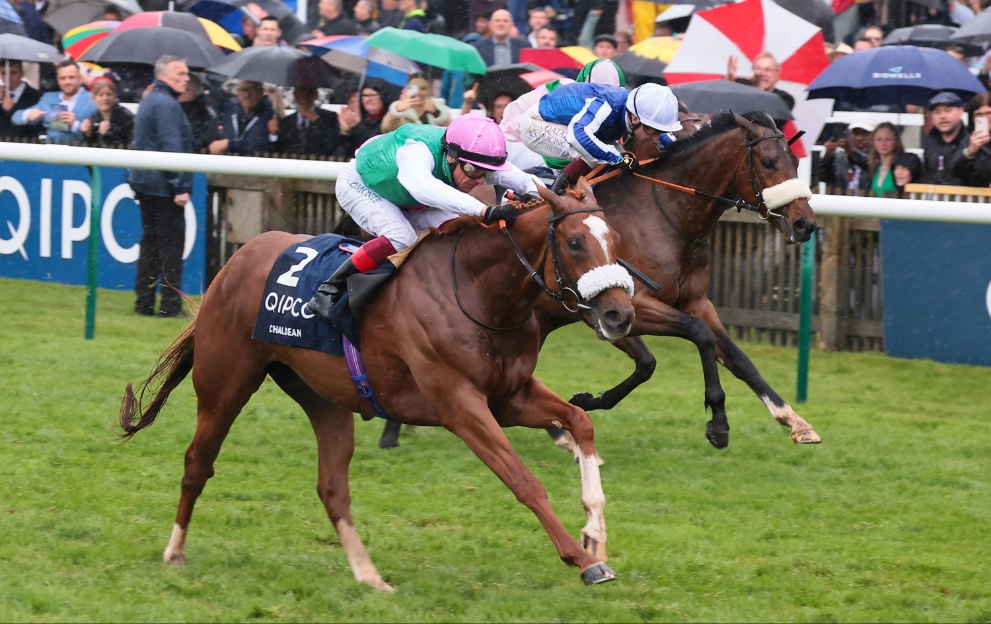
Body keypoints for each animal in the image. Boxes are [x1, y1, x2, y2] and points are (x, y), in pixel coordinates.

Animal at [116, 179, 636, 588]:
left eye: (614, 239)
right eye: (574, 243)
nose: (619, 315)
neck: (476, 292)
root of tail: (237, 259)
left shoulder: (510, 395)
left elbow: (579, 421)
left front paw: (596, 531)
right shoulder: (460, 405)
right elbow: (523, 480)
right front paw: (584, 561)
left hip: (324, 398)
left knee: (332, 489)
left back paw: (370, 578)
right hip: (225, 385)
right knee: (197, 464)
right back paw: (174, 551)